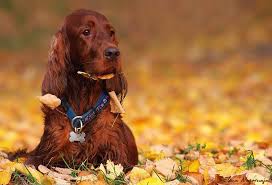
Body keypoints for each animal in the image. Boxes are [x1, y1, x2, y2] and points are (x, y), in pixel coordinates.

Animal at [26, 9, 138, 171]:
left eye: (111, 32)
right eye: (86, 31)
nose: (113, 52)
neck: (84, 90)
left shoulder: (117, 155)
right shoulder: (49, 151)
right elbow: (33, 162)